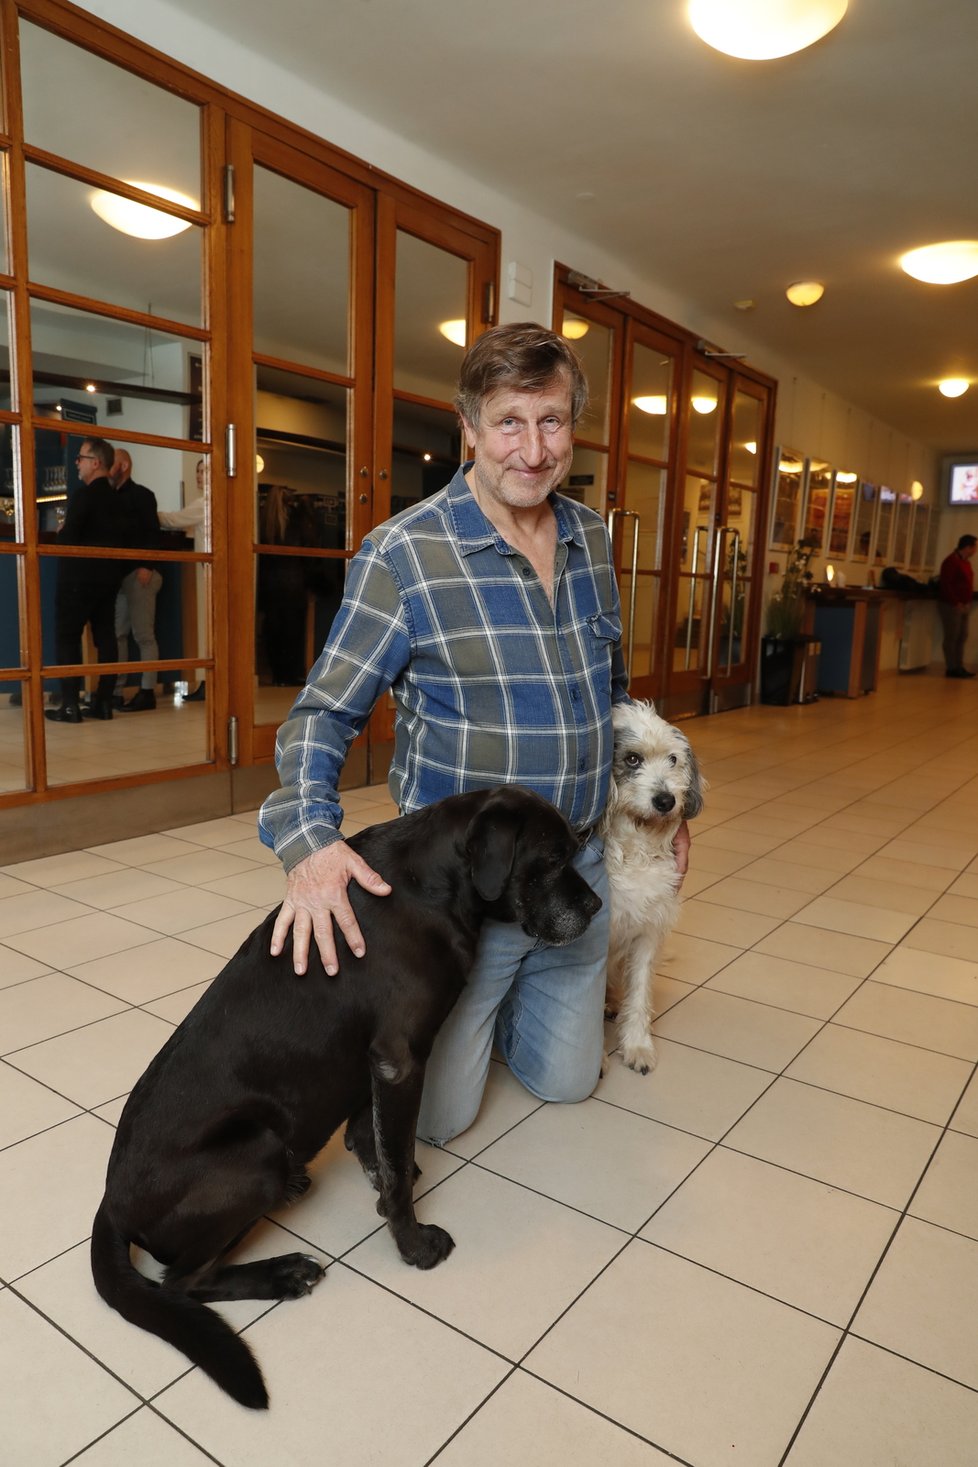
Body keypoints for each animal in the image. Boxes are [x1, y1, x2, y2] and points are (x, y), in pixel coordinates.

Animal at [91, 792, 601, 1408]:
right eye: (550, 859)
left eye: (576, 849)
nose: (598, 905)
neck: (430, 884)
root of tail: (112, 1205)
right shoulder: (400, 1059)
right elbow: (397, 1170)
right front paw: (413, 1245)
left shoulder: (375, 1066)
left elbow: (374, 1140)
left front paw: (381, 1180)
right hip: (256, 1153)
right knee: (184, 1282)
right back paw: (283, 1273)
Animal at [598, 704, 703, 1073]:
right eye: (632, 759)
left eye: (673, 760)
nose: (666, 800)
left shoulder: (648, 932)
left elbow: (640, 993)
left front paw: (638, 1046)